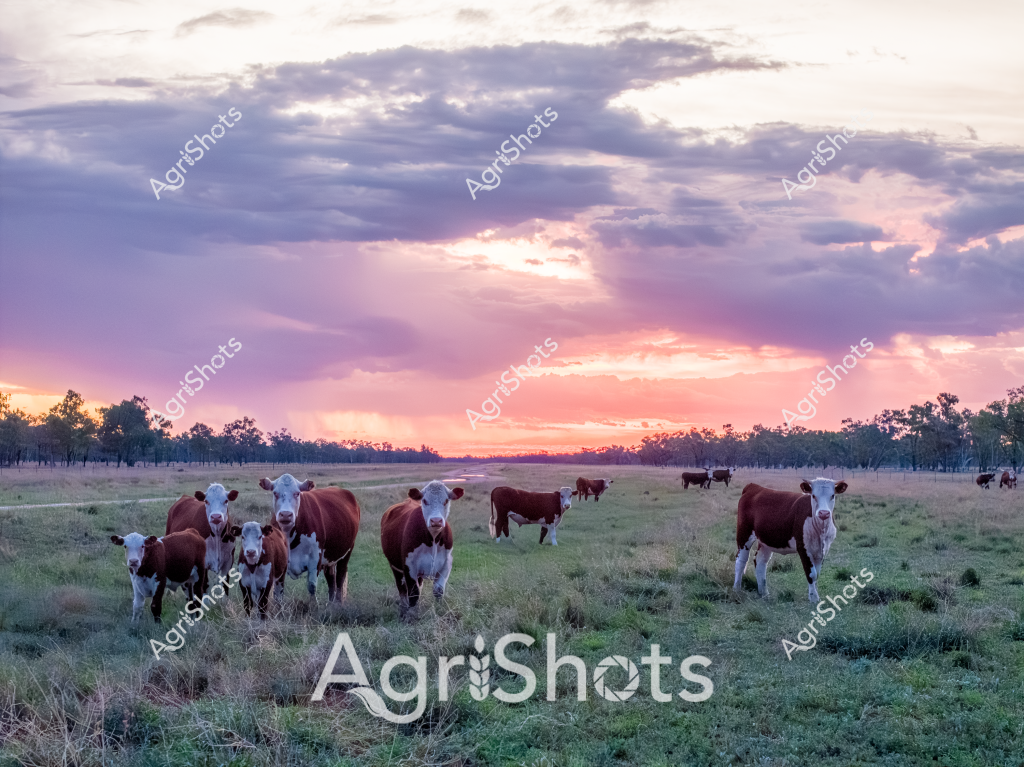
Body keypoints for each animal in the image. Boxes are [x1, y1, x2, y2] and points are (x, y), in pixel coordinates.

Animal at [259, 474, 360, 605]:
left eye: (297, 493)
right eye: (275, 493)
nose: (286, 514)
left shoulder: (315, 558)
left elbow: (311, 586)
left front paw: (313, 605)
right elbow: (278, 593)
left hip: (347, 550)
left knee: (340, 577)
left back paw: (338, 603)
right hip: (330, 557)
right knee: (331, 578)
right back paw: (330, 603)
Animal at [381, 480, 465, 617]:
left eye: (446, 500)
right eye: (425, 500)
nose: (436, 521)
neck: (433, 539)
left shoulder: (446, 563)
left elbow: (438, 590)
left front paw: (439, 611)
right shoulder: (409, 565)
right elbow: (413, 593)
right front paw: (412, 615)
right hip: (395, 566)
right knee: (402, 588)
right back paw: (404, 608)